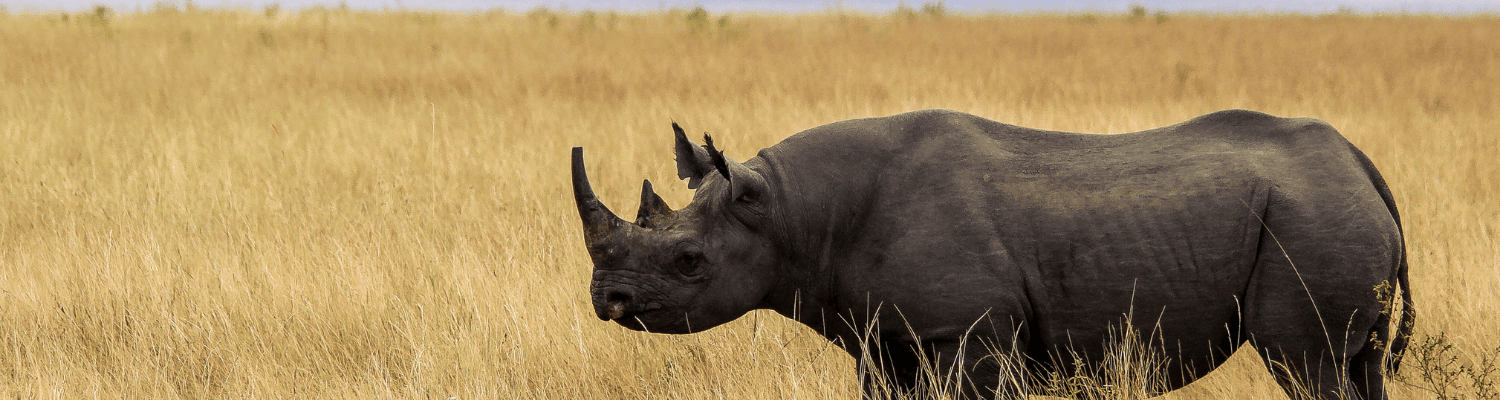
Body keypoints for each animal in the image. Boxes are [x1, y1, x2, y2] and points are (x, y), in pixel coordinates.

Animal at [571, 109, 1413, 399]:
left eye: (688, 260)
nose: (605, 301)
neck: (791, 212)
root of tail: (1363, 165)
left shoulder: (967, 333)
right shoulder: (885, 339)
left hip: (1310, 218)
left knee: (1305, 365)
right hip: (1324, 210)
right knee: (1356, 367)